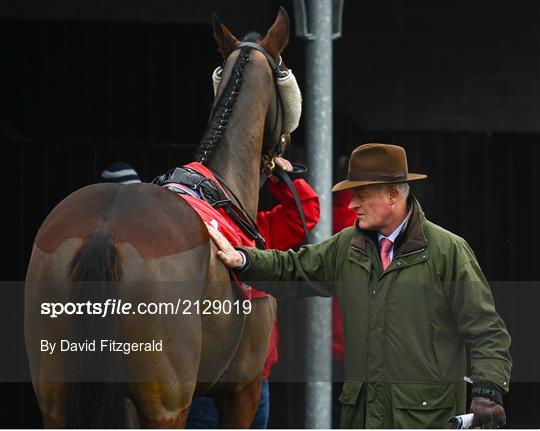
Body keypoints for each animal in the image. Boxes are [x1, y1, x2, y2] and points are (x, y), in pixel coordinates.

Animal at [24, 9, 296, 428]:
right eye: (283, 67)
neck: (218, 183)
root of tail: (104, 232)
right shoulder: (243, 390)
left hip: (57, 398)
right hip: (166, 404)